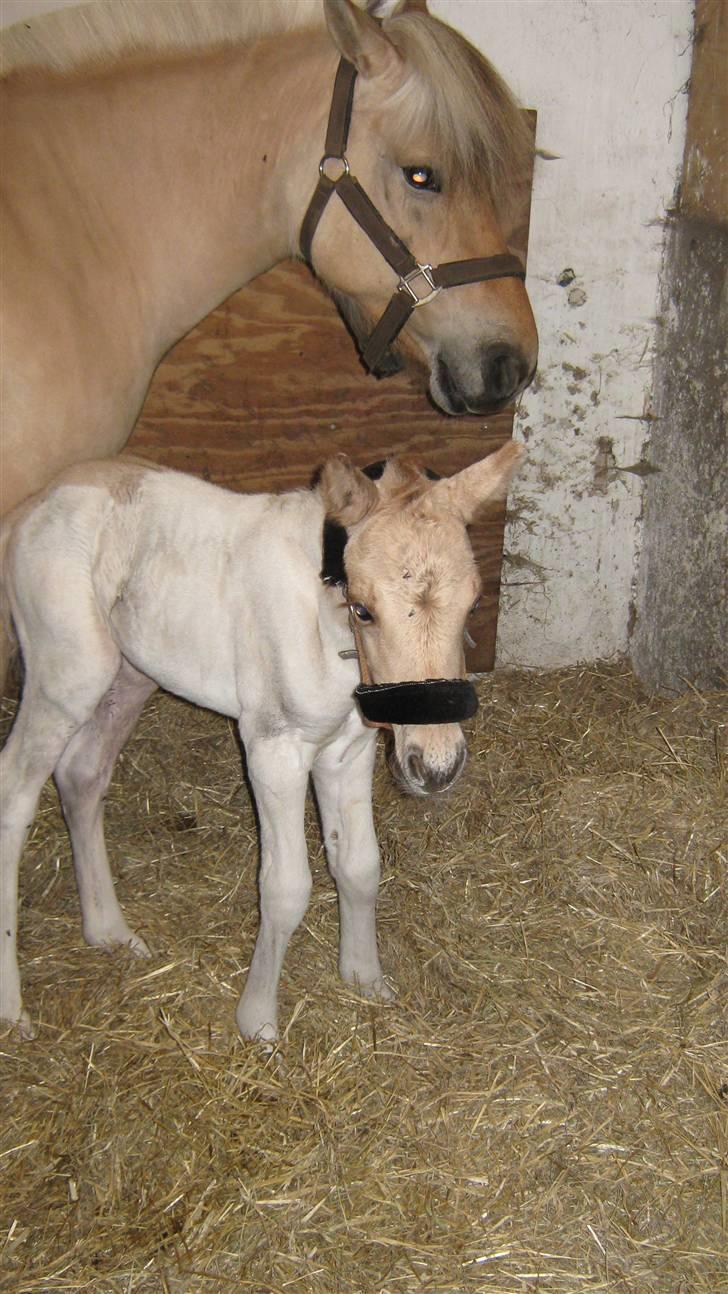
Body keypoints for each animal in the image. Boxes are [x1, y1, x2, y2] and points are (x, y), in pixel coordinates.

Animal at [0, 445, 524, 1040]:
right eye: (364, 609)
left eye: (474, 602)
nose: (436, 766)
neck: (326, 626)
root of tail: (31, 508)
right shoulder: (274, 748)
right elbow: (285, 887)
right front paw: (258, 1023)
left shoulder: (350, 749)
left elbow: (360, 866)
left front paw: (365, 979)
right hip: (66, 674)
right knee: (14, 793)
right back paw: (13, 1008)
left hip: (130, 673)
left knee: (82, 772)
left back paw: (110, 931)